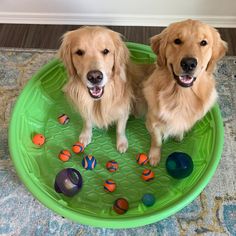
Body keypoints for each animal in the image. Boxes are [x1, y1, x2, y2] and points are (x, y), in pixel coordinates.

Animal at [143, 19, 228, 166]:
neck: (181, 95)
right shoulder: (153, 122)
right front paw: (154, 156)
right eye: (177, 41)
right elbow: (157, 141)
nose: (189, 63)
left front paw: (179, 136)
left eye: (203, 42)